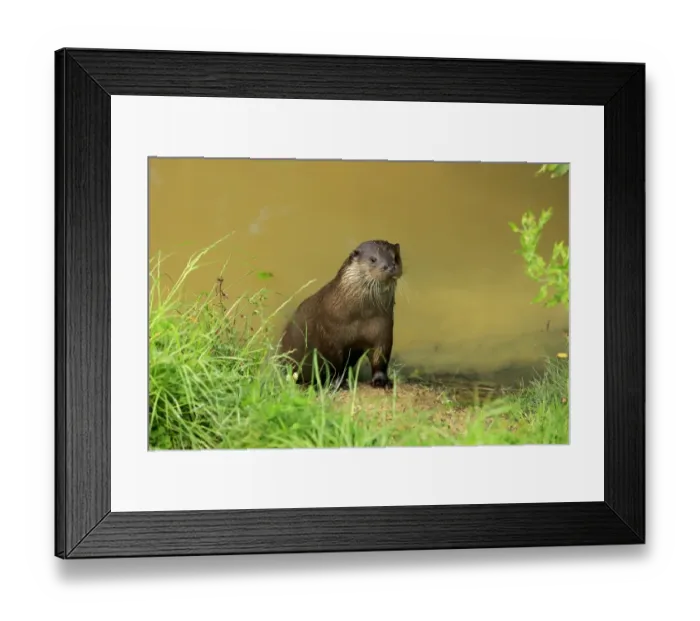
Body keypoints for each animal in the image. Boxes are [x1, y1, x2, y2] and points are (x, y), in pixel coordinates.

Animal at [279, 240, 403, 390]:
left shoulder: (383, 330)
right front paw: (338, 383)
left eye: (395, 257)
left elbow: (380, 358)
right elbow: (335, 365)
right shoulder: (330, 335)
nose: (390, 267)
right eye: (373, 259)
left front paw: (381, 381)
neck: (361, 316)